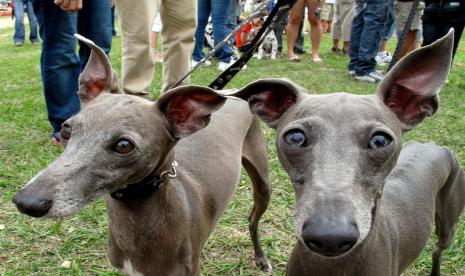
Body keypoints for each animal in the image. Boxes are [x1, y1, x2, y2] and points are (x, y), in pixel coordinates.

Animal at [234, 29, 462, 274]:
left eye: (380, 140)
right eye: (295, 137)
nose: (329, 236)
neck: (333, 268)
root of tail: (434, 145)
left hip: (447, 224)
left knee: (438, 250)